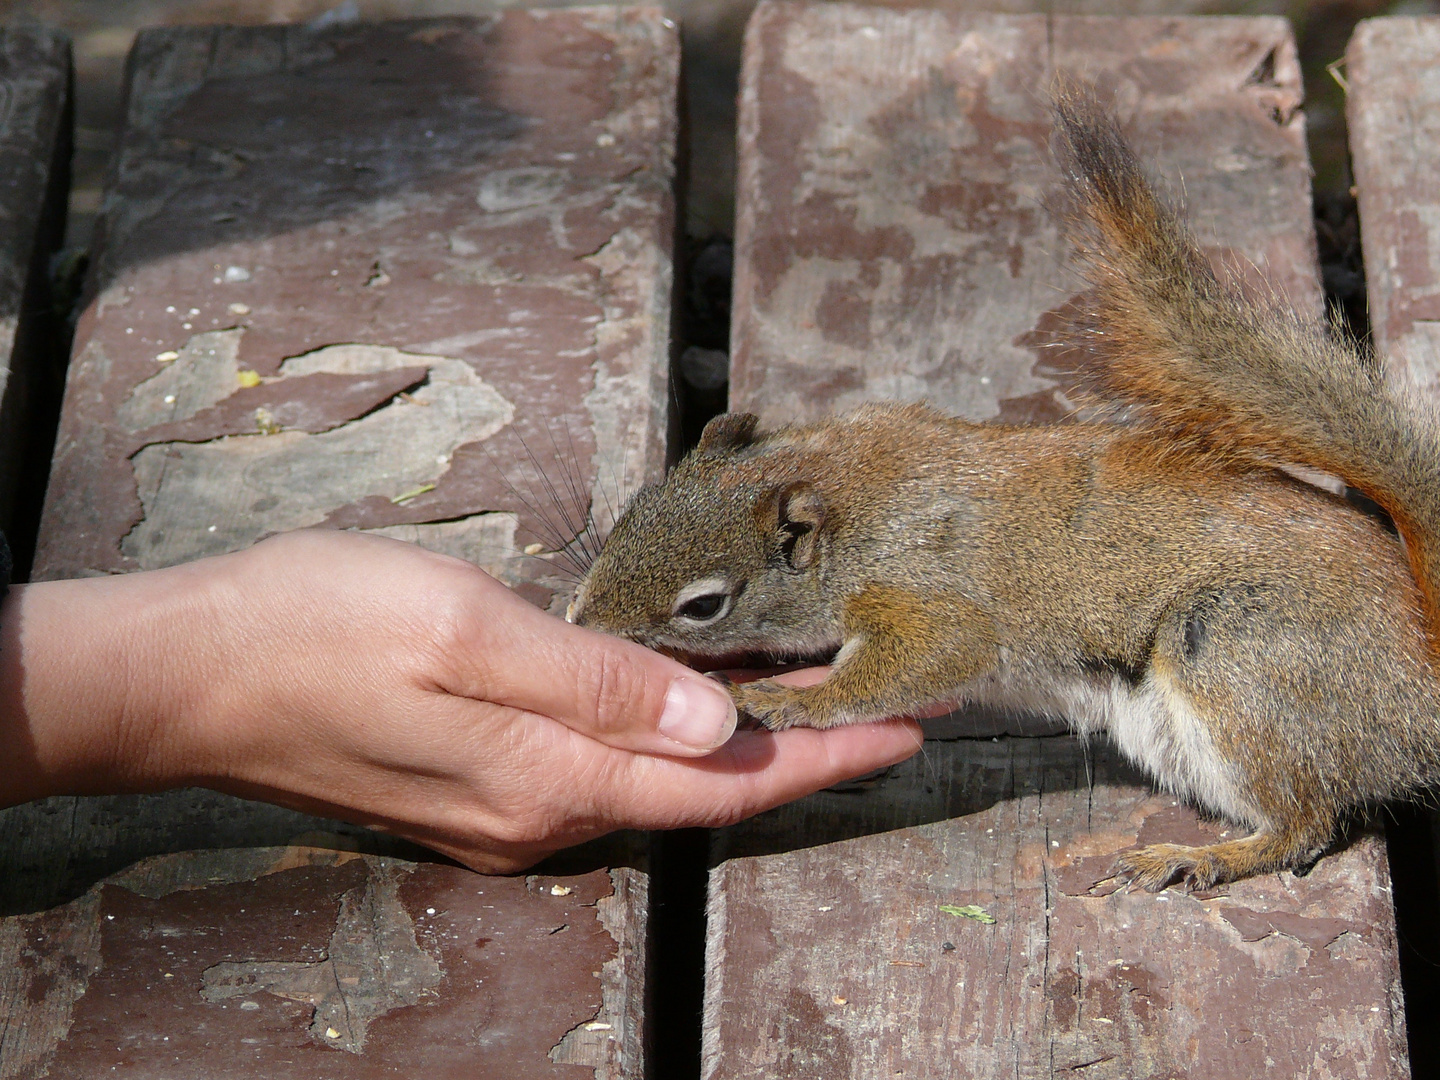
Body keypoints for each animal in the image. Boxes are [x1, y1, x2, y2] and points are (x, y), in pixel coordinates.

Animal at [564, 84, 1440, 892]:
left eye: (704, 605)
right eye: (633, 511)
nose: (579, 621)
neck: (840, 479)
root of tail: (1421, 678)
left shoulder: (927, 593)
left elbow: (928, 657)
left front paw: (791, 702)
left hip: (1240, 653)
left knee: (1305, 820)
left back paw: (1206, 856)